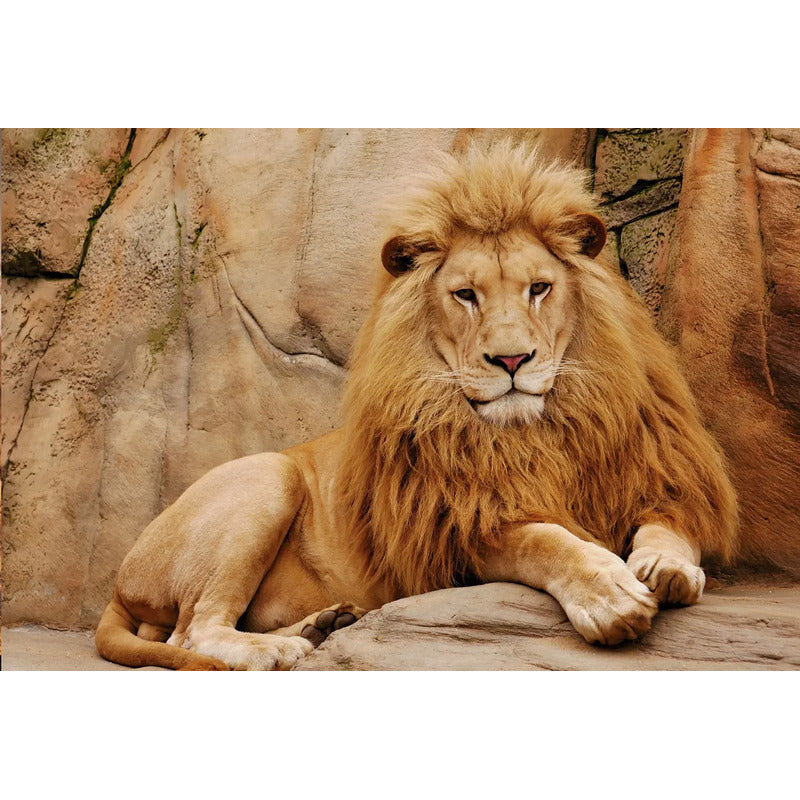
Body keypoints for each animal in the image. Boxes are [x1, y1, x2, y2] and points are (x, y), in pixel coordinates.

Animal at [96, 141, 738, 670]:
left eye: (539, 288)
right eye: (465, 295)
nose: (512, 360)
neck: (537, 431)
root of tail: (121, 579)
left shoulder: (658, 473)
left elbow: (669, 525)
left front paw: (667, 568)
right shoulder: (459, 531)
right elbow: (545, 541)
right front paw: (609, 594)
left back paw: (325, 624)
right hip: (269, 476)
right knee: (190, 633)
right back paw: (277, 650)